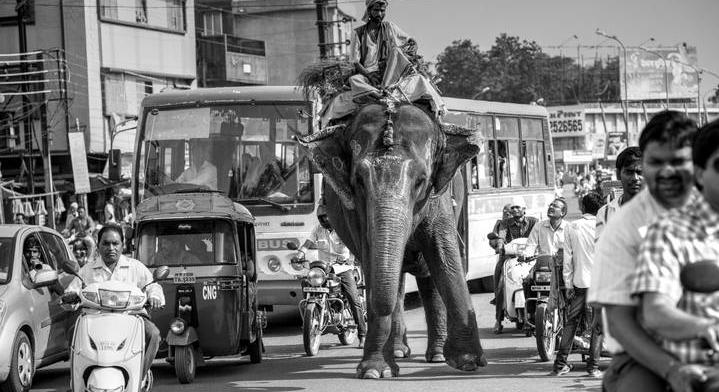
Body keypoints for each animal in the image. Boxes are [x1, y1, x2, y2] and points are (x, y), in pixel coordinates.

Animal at [298, 99, 490, 378]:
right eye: (359, 180)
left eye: (421, 180)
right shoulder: (355, 210)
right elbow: (372, 261)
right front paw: (375, 371)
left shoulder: (439, 196)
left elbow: (443, 255)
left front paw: (468, 362)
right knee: (396, 283)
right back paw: (399, 351)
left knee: (426, 277)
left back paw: (436, 355)